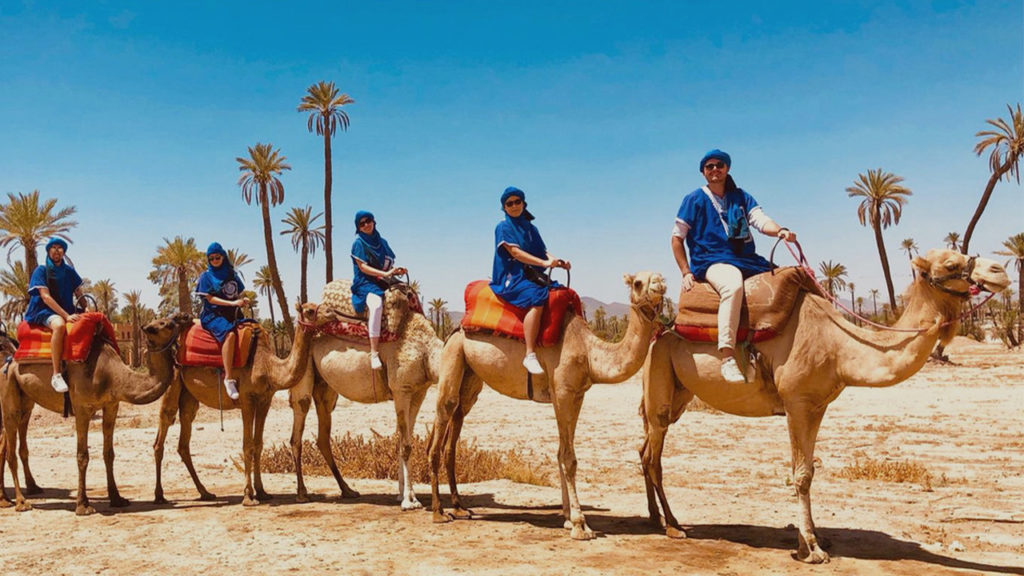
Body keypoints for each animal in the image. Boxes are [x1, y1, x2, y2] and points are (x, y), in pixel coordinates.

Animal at [1, 311, 189, 512]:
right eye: (167, 324)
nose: (184, 316)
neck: (112, 375)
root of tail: (9, 361)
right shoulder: (82, 408)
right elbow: (82, 455)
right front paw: (83, 505)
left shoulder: (111, 405)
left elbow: (109, 453)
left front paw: (117, 498)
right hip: (9, 393)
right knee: (10, 449)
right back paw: (21, 502)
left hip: (26, 400)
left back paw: (17, 495)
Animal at [151, 303, 323, 504]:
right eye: (310, 310)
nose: (331, 315)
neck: (268, 367)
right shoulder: (247, 400)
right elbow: (247, 444)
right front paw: (248, 495)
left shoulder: (265, 400)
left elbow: (258, 444)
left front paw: (262, 492)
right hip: (174, 378)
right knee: (164, 423)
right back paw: (160, 495)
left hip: (189, 394)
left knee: (184, 435)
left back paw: (205, 492)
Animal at [286, 284, 442, 506]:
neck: (425, 351)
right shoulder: (401, 390)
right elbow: (405, 445)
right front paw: (408, 501)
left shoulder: (419, 391)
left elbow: (404, 441)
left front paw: (404, 494)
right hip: (303, 372)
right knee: (297, 428)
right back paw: (302, 493)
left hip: (326, 390)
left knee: (323, 435)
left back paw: (348, 490)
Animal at [428, 270, 667, 537]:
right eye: (638, 282)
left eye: (660, 277)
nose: (660, 285)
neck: (589, 353)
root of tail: (456, 328)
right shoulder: (562, 391)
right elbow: (569, 457)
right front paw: (580, 524)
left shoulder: (576, 395)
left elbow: (561, 452)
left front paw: (567, 518)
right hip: (453, 355)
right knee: (445, 411)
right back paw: (439, 512)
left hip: (470, 373)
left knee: (457, 417)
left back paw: (459, 507)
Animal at [638, 249, 1007, 561]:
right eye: (950, 263)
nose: (999, 270)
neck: (839, 346)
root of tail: (663, 328)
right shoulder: (796, 402)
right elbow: (800, 475)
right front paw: (811, 549)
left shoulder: (818, 406)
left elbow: (811, 471)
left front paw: (813, 538)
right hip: (659, 378)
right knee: (654, 456)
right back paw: (673, 526)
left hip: (680, 393)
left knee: (645, 450)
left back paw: (655, 518)